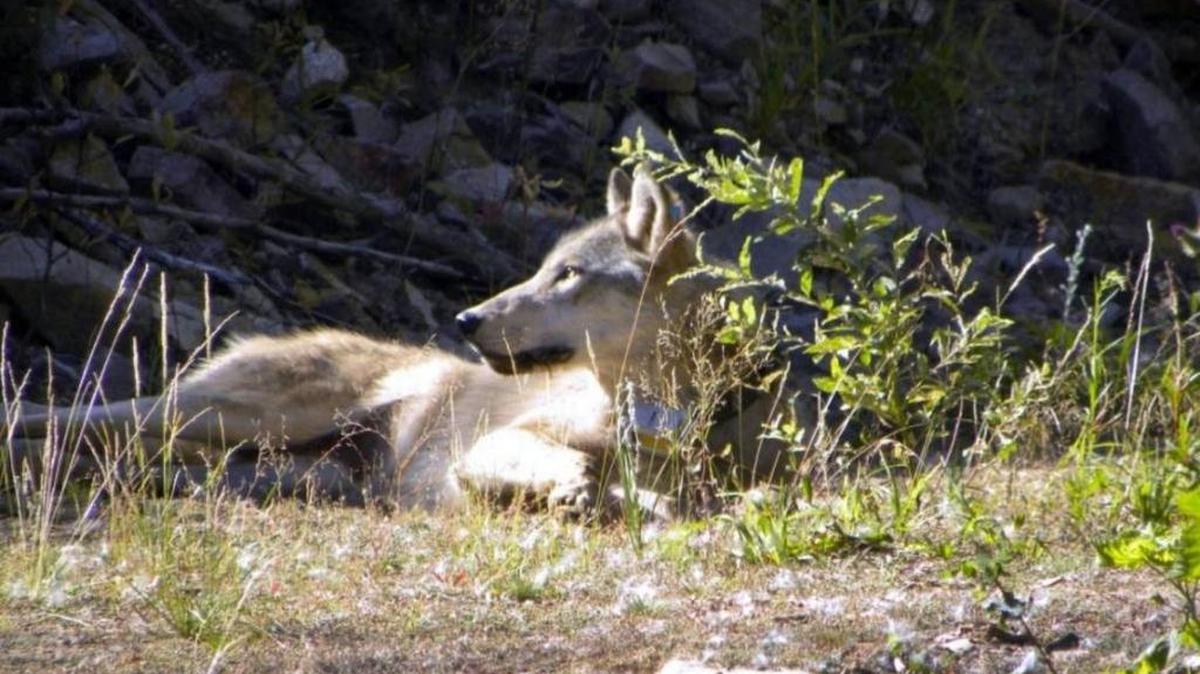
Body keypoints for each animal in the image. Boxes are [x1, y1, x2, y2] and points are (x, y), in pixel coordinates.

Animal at [4, 166, 786, 515]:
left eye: (567, 275)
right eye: (543, 268)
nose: (466, 322)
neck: (657, 415)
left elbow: (677, 500)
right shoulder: (482, 451)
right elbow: (560, 463)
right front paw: (570, 482)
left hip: (281, 465)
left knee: (140, 460)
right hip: (225, 414)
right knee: (76, 417)